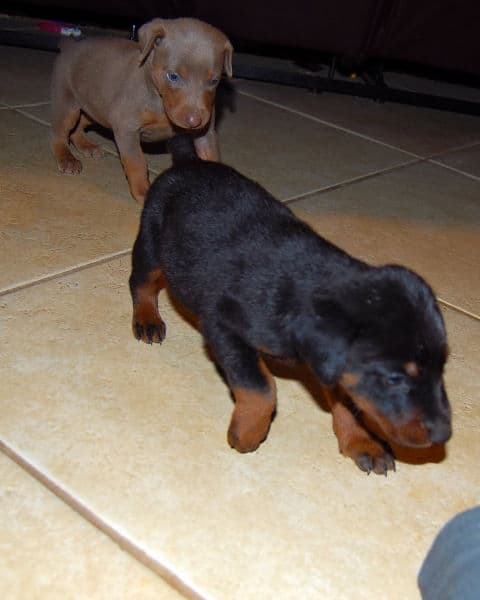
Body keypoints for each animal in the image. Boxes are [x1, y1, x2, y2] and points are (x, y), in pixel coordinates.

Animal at [129, 135, 452, 474]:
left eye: (441, 370)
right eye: (394, 379)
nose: (444, 434)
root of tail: (187, 161)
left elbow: (348, 403)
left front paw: (363, 443)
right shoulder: (223, 325)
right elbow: (261, 387)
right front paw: (247, 432)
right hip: (152, 237)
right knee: (141, 281)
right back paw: (147, 319)